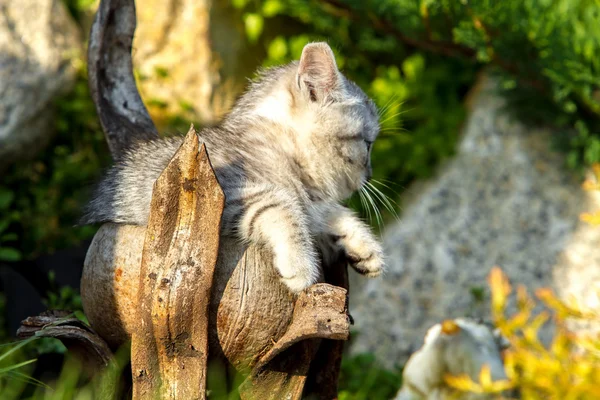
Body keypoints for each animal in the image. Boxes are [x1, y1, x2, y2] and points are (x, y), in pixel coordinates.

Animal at [81, 42, 384, 292]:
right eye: (368, 143)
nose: (370, 175)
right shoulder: (209, 196)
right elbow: (281, 203)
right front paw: (299, 264)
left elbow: (324, 212)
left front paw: (363, 243)